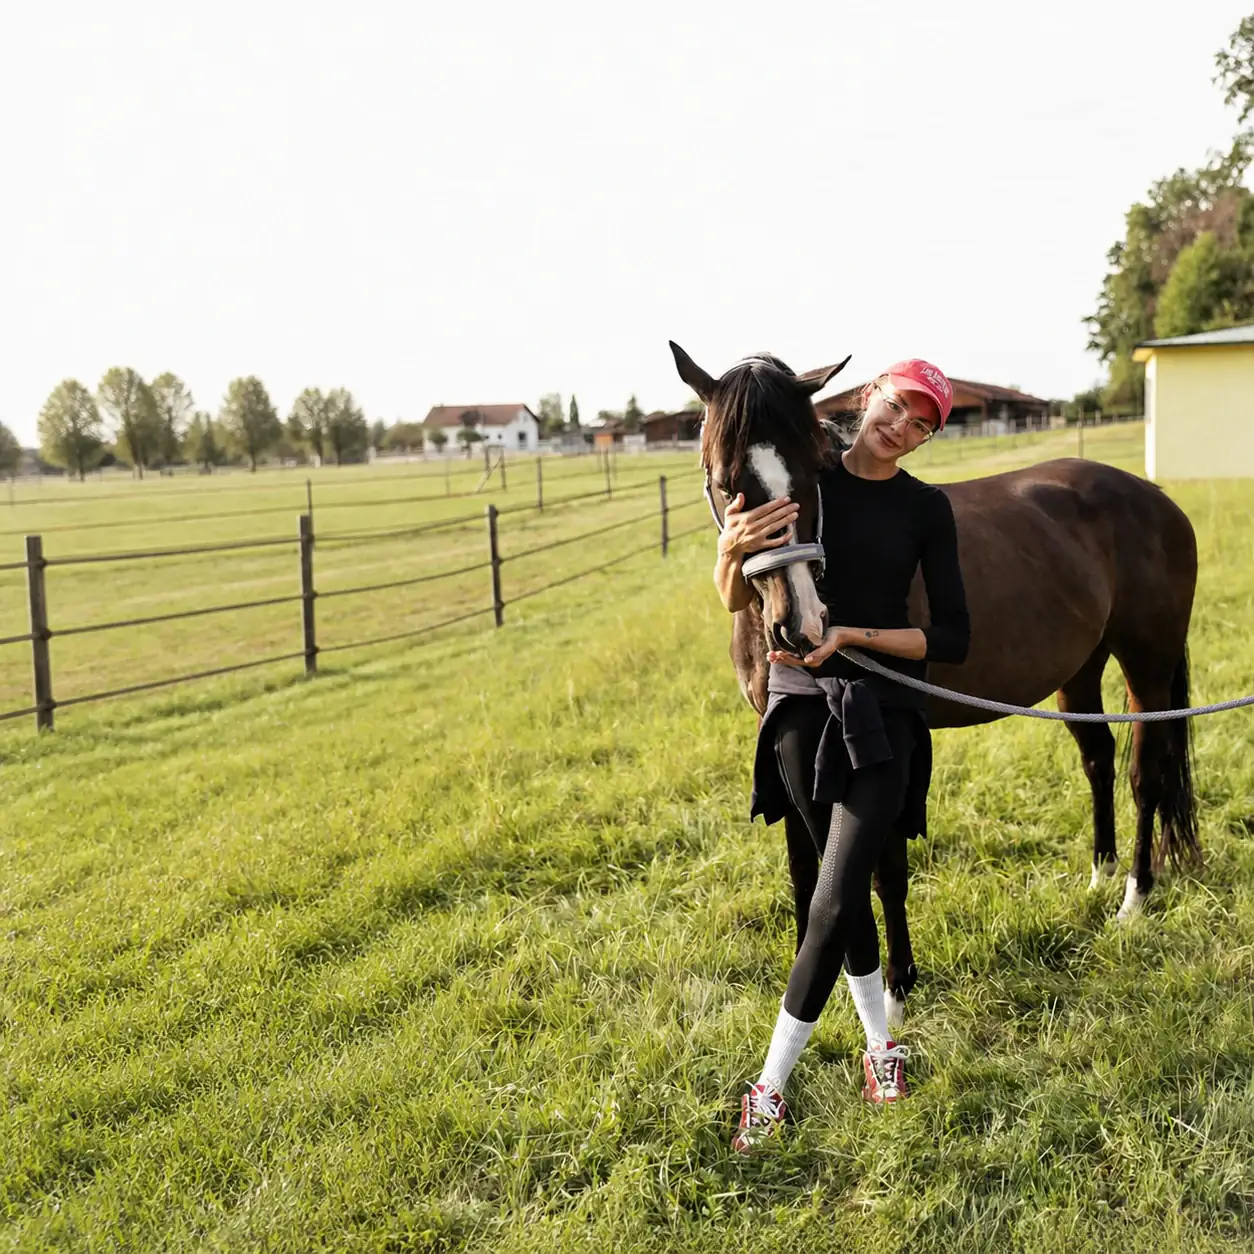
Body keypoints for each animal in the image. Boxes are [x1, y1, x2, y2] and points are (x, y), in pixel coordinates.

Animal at [670, 342, 1200, 1027]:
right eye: (726, 481)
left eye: (812, 474)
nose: (802, 624)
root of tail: (1156, 499)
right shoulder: (785, 736)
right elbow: (805, 868)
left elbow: (883, 869)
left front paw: (895, 992)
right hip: (1081, 670)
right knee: (1098, 760)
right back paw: (1100, 876)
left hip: (1148, 666)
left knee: (1146, 775)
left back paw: (1133, 899)